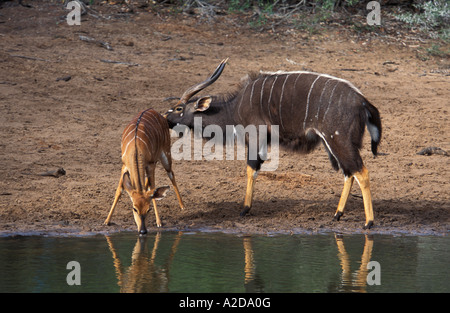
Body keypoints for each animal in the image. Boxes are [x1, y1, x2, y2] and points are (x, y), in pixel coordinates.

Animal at [163, 59, 382, 229]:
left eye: (179, 108)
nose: (164, 118)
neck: (235, 108)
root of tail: (363, 102)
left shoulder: (255, 136)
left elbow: (251, 169)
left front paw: (245, 209)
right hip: (335, 143)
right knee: (349, 172)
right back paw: (337, 214)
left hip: (338, 139)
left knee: (361, 171)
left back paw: (368, 222)